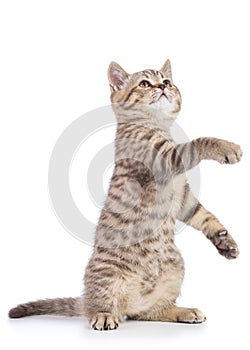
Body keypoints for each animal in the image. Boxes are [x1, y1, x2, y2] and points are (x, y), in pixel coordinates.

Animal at [8, 58, 241, 330]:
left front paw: (224, 239)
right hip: (108, 274)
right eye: (145, 83)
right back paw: (104, 315)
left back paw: (180, 311)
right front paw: (226, 147)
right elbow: (197, 143)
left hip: (175, 269)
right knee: (100, 306)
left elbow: (203, 215)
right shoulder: (161, 161)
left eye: (167, 80)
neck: (157, 126)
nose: (163, 86)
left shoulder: (184, 199)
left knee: (149, 312)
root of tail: (130, 303)